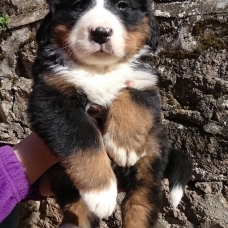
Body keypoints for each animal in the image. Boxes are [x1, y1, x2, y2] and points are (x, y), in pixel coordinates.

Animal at [28, 0, 192, 227]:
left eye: (122, 6)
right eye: (77, 6)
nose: (100, 33)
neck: (99, 70)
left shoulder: (145, 85)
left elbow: (129, 93)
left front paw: (124, 146)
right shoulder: (52, 97)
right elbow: (83, 139)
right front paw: (102, 193)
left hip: (151, 156)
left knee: (140, 202)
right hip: (64, 179)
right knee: (78, 209)